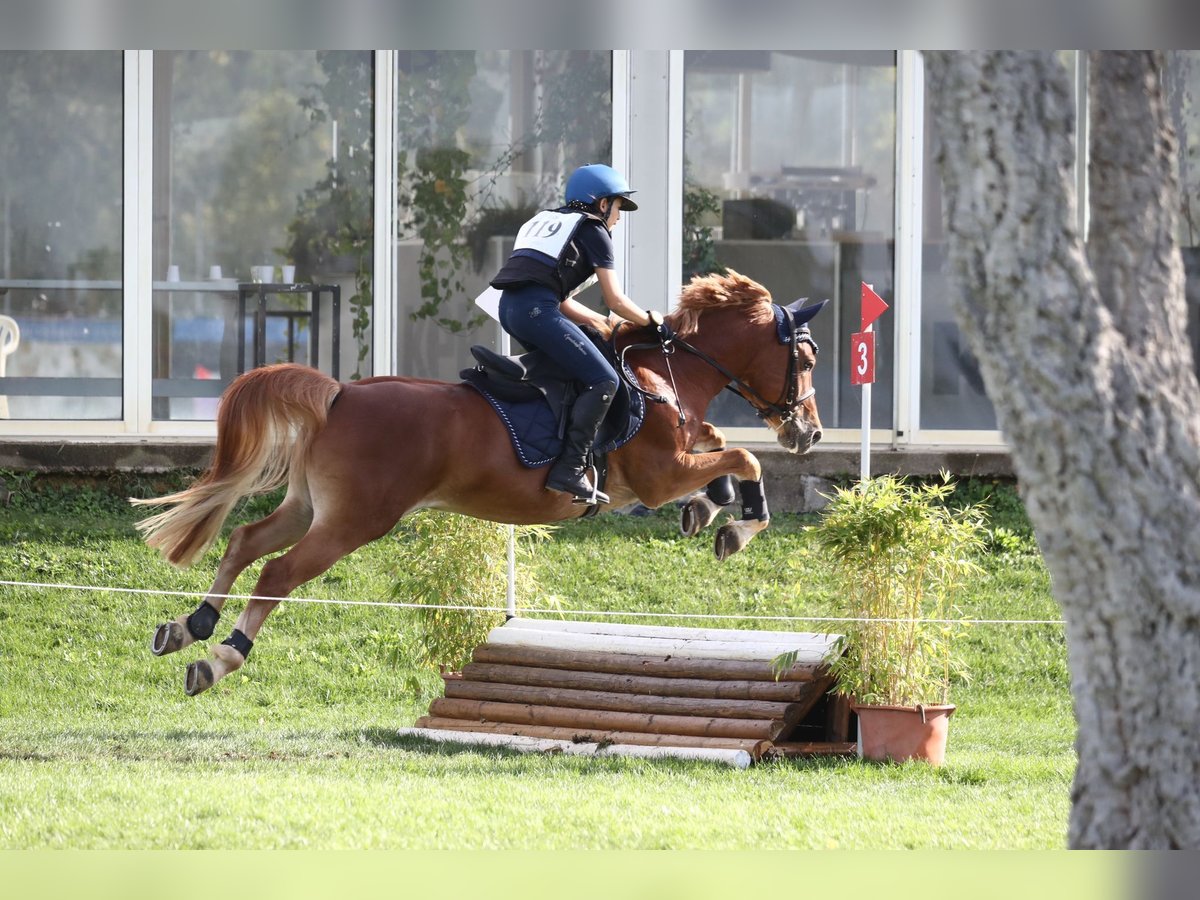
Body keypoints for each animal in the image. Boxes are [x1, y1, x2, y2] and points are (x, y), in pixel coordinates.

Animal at [131, 267, 825, 696]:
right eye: (805, 357)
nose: (810, 433)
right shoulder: (659, 475)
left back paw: (189, 627)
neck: (663, 375)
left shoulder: (676, 461)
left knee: (246, 541)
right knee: (277, 573)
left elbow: (720, 448)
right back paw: (219, 658)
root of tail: (340, 393)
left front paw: (710, 509)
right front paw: (737, 524)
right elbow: (744, 457)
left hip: (310, 507)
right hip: (356, 520)